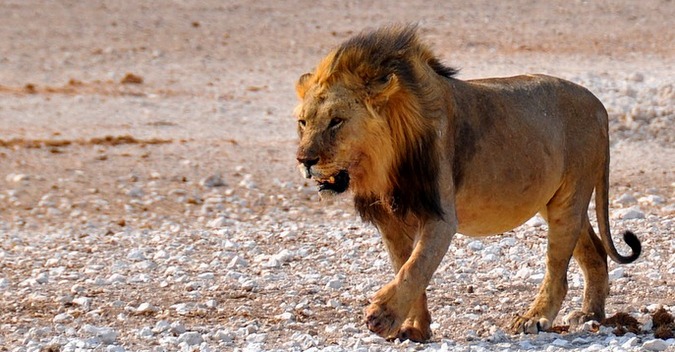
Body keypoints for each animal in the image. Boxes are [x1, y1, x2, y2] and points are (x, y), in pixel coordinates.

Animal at [294, 25, 640, 344]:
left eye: (336, 121)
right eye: (303, 122)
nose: (304, 160)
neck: (382, 164)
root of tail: (599, 105)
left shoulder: (439, 215)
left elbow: (415, 267)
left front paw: (382, 315)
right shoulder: (390, 220)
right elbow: (406, 267)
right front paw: (414, 328)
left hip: (569, 198)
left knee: (558, 269)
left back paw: (535, 318)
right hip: (555, 201)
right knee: (595, 251)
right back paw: (591, 314)